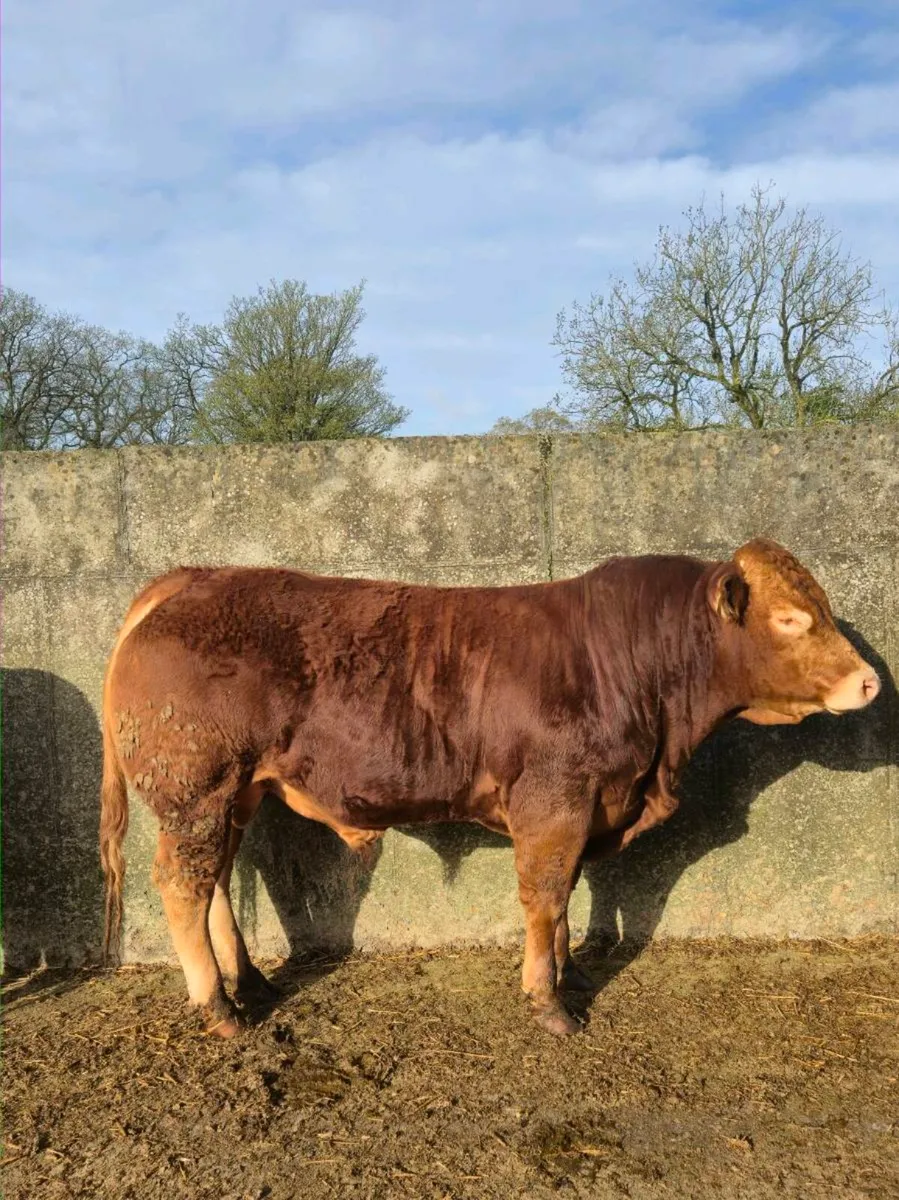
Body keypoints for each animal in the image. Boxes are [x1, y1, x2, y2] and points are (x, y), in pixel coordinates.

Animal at [99, 539, 880, 1038]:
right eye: (789, 618)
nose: (870, 681)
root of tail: (194, 577)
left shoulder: (586, 806)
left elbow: (567, 897)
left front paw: (569, 972)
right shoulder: (555, 800)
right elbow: (545, 896)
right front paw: (548, 1002)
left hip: (234, 791)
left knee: (216, 881)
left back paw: (251, 984)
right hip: (195, 786)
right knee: (182, 884)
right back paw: (219, 1009)